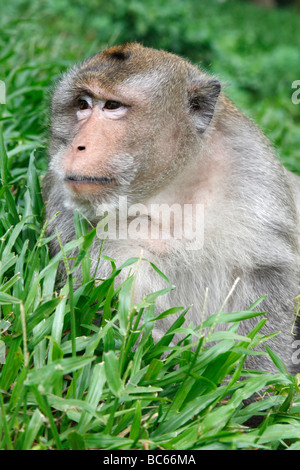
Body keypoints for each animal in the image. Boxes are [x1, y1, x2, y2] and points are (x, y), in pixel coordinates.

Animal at [42, 43, 300, 374]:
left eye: (112, 106)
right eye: (83, 104)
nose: (77, 146)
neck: (169, 188)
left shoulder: (253, 168)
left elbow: (269, 272)